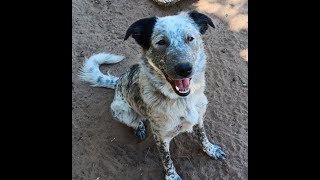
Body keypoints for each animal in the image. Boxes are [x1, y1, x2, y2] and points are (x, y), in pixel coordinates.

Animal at [79, 10, 226, 179]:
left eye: (190, 38)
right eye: (161, 42)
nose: (185, 69)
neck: (182, 101)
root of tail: (118, 81)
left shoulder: (199, 117)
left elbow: (202, 136)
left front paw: (211, 150)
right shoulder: (161, 136)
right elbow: (166, 159)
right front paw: (172, 176)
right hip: (120, 110)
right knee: (135, 120)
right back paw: (139, 127)